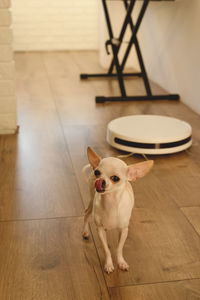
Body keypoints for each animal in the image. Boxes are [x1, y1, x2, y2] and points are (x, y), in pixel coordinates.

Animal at [82, 146, 154, 274]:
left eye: (115, 178)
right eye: (97, 172)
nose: (100, 180)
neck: (110, 204)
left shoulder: (124, 230)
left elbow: (119, 248)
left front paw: (121, 262)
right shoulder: (100, 230)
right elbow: (107, 250)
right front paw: (109, 264)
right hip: (91, 201)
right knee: (86, 213)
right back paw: (85, 232)